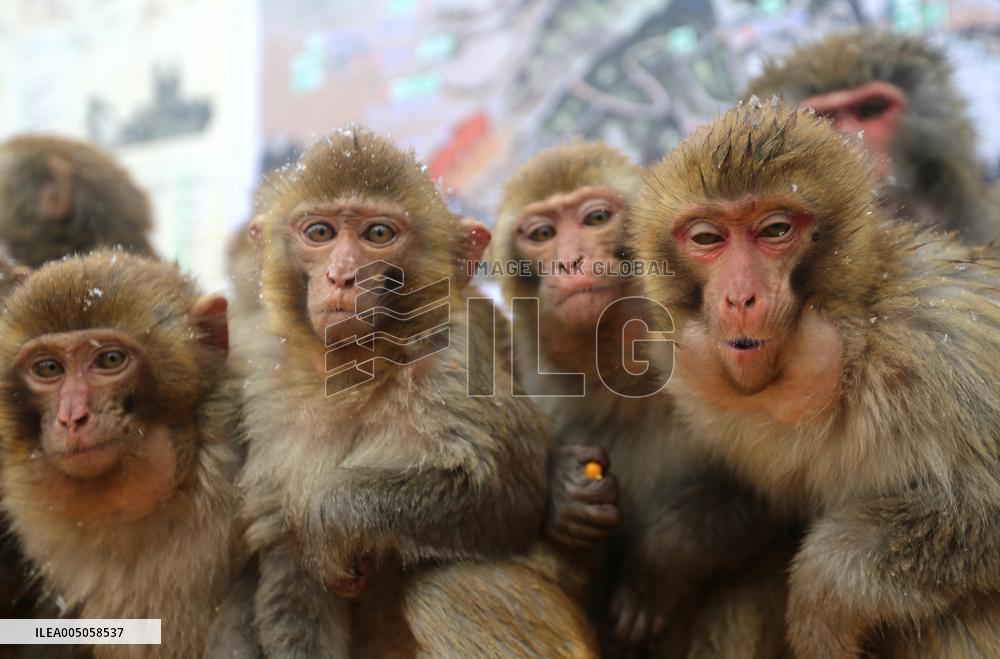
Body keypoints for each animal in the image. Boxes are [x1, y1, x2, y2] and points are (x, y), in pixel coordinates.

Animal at [239, 127, 597, 657]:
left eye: (378, 235)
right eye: (320, 233)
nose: (341, 275)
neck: (359, 373)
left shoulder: (455, 362)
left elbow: (511, 495)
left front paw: (331, 515)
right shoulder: (267, 393)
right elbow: (291, 571)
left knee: (445, 586)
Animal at [491, 141, 790, 657]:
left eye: (595, 218)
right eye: (543, 234)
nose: (571, 262)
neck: (621, 378)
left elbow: (782, 498)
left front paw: (659, 563)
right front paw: (565, 491)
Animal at [632, 99, 1000, 657]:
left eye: (775, 231)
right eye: (707, 238)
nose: (739, 298)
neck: (856, 340)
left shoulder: (943, 356)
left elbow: (984, 511)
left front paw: (823, 595)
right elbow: (763, 503)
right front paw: (668, 554)